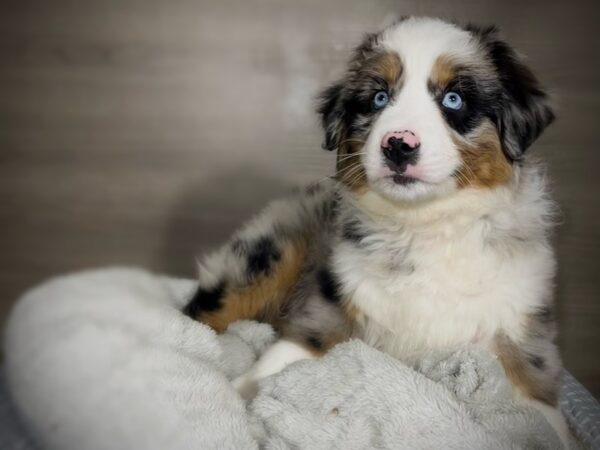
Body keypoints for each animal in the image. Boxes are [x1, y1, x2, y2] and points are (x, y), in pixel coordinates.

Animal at [183, 16, 568, 446]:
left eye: (454, 99)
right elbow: (280, 361)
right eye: (380, 98)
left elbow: (540, 409)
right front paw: (232, 401)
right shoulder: (330, 308)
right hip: (268, 257)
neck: (424, 223)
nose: (398, 145)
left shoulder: (520, 336)